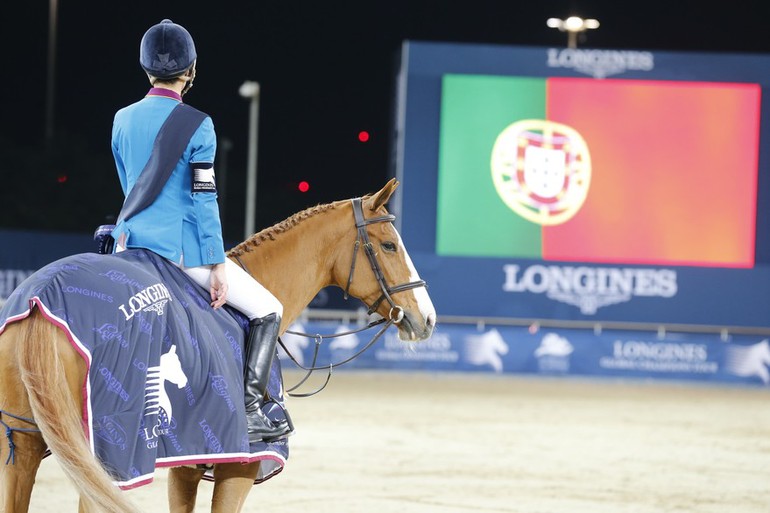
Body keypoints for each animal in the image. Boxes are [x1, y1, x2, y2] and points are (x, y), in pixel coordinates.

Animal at [0, 178, 432, 510]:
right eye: (390, 245)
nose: (426, 318)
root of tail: (43, 300)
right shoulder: (240, 465)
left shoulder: (187, 463)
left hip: (24, 443)